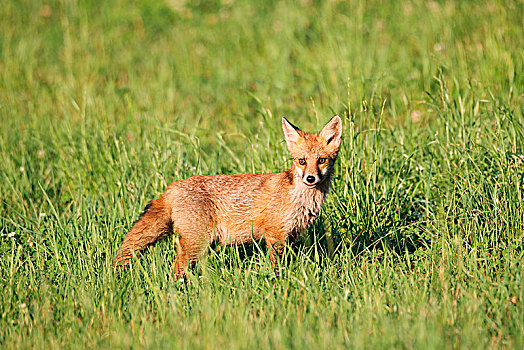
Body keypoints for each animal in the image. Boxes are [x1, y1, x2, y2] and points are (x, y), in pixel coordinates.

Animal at [113, 116, 344, 278]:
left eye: (322, 160)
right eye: (302, 161)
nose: (311, 178)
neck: (299, 198)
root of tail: (172, 187)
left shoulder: (291, 235)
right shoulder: (274, 235)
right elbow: (276, 267)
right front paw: (279, 282)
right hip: (196, 243)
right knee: (176, 270)